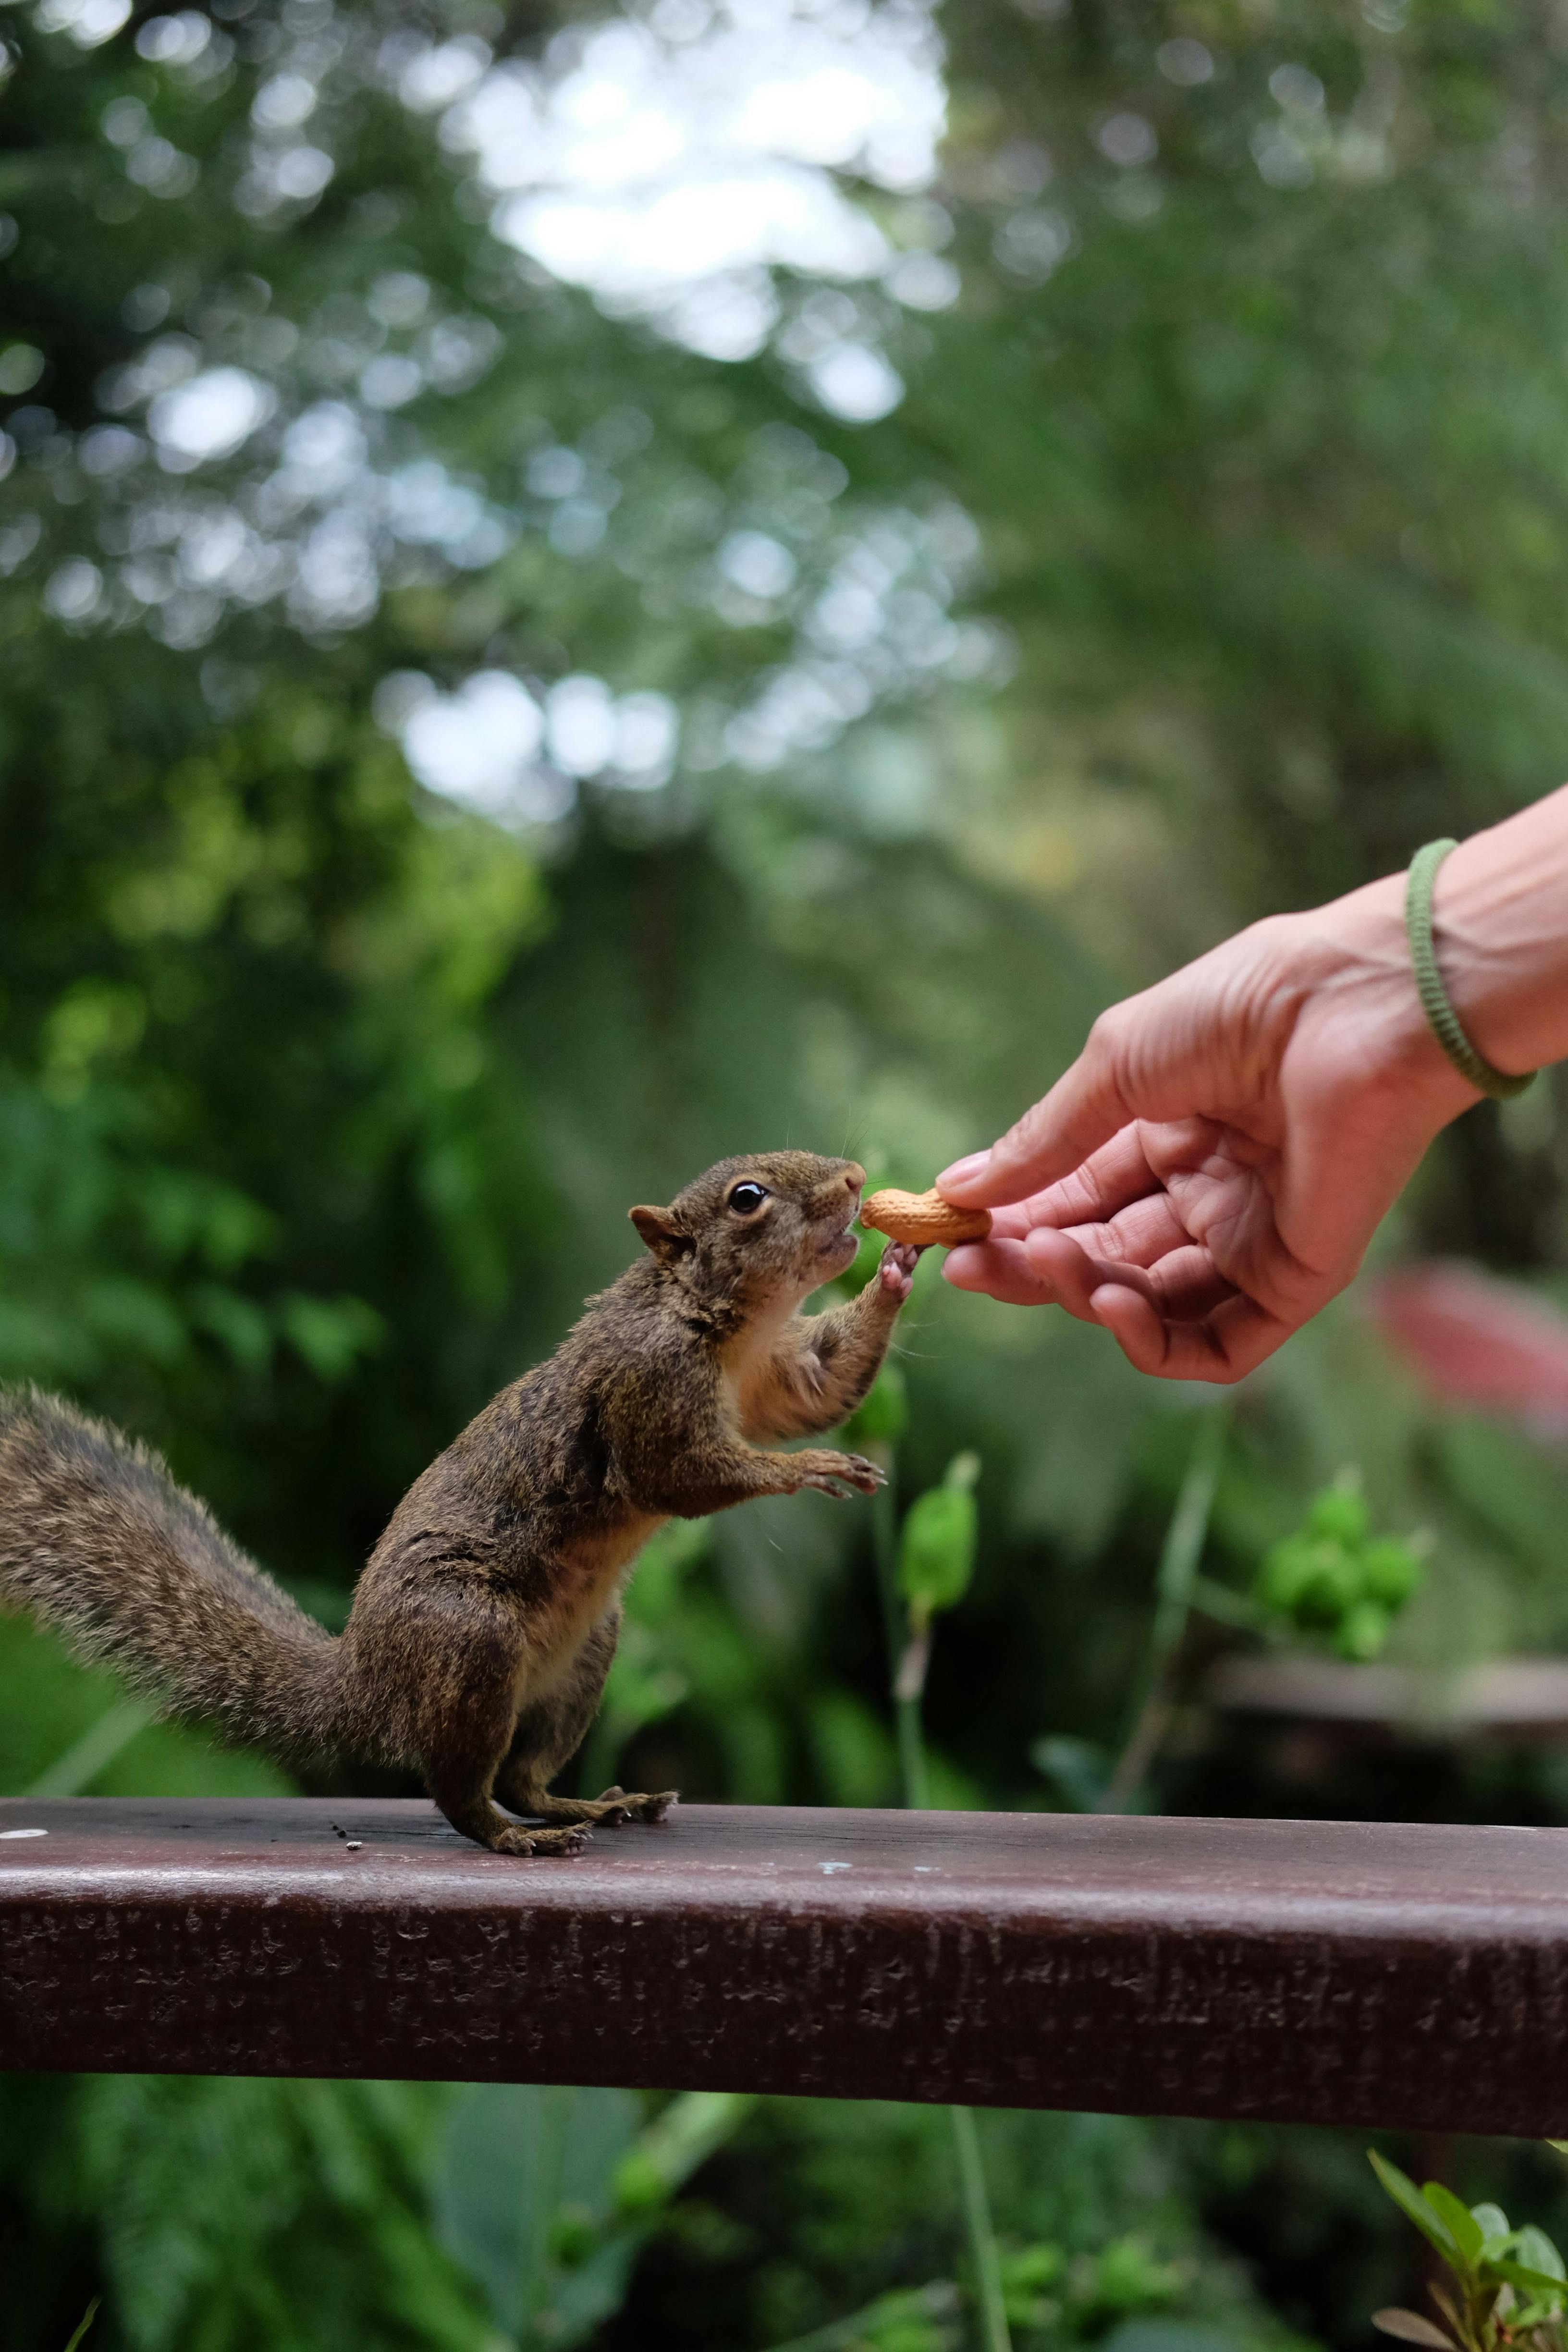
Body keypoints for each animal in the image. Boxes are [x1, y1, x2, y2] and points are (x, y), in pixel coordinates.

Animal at [0, 1153, 918, 1856]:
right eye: (747, 1198)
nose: (854, 1177)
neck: (721, 1323)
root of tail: (367, 1683)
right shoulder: (646, 1386)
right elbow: (677, 1477)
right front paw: (805, 1468)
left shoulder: (774, 1378)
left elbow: (823, 1387)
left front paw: (896, 1273)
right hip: (471, 1642)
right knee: (460, 1791)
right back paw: (511, 1837)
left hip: (581, 1660)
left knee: (522, 1776)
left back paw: (590, 1805)